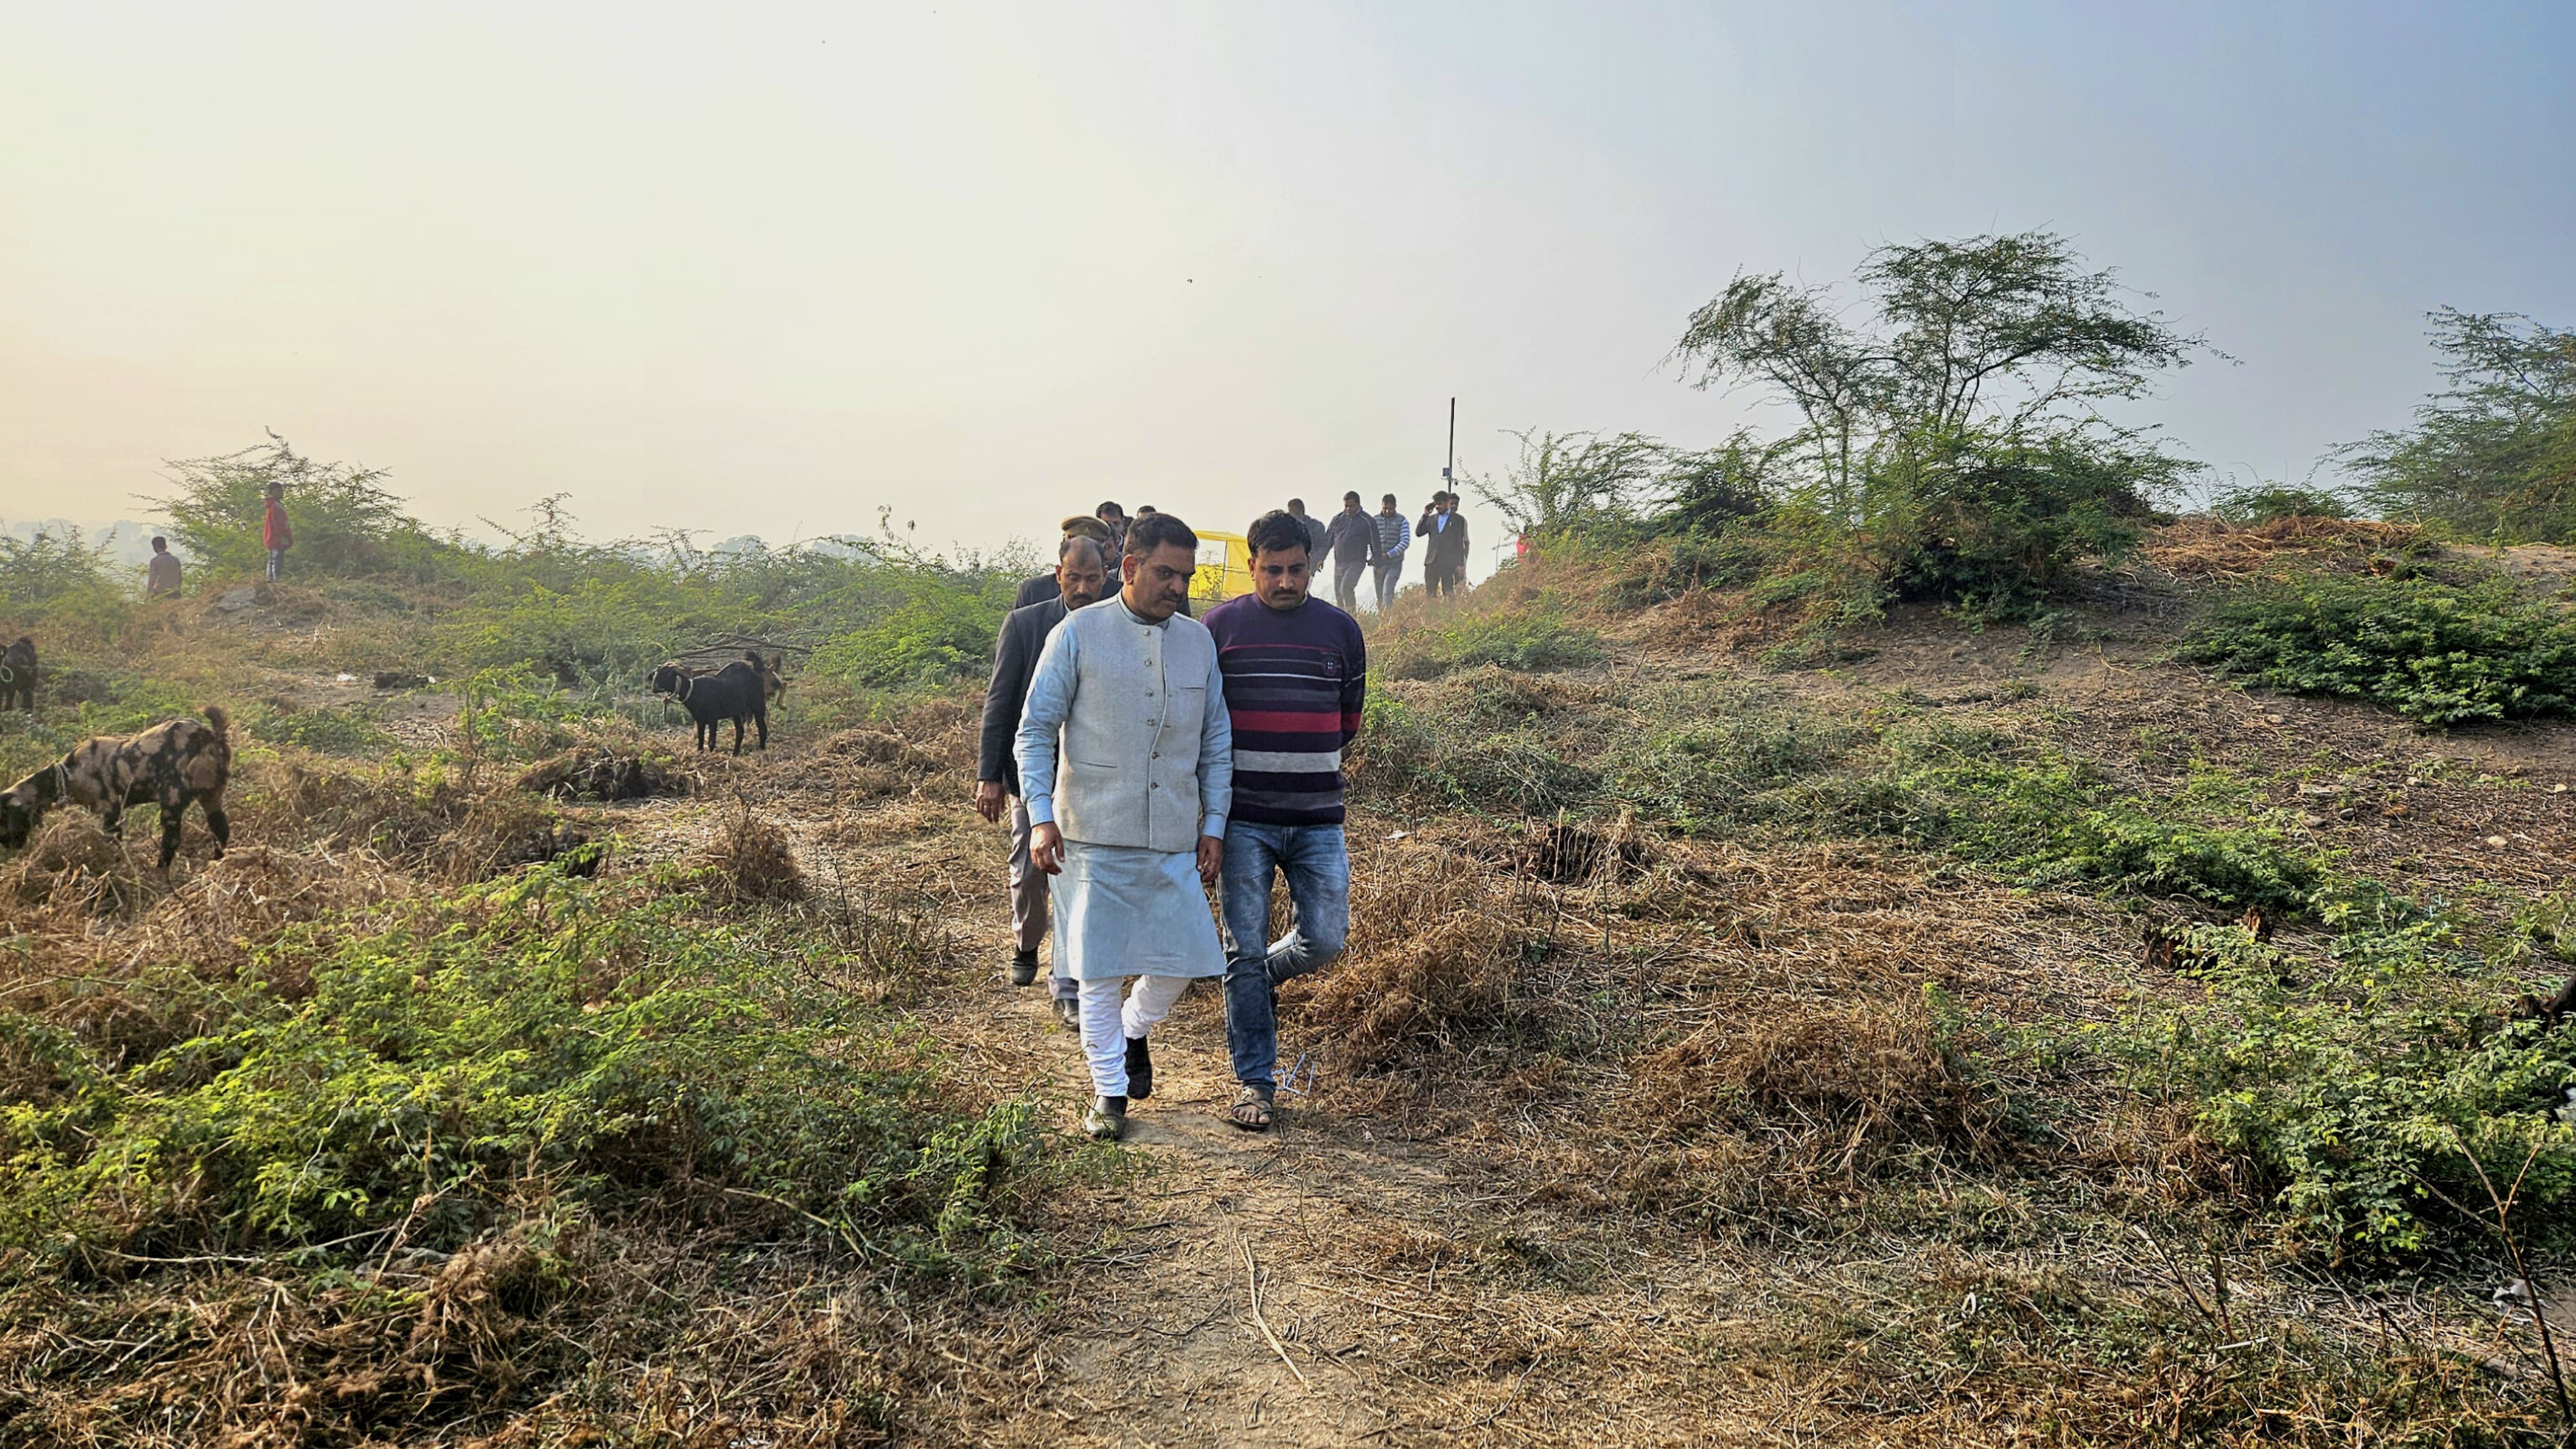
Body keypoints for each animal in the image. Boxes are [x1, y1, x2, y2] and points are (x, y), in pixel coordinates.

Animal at [0, 701, 234, 860]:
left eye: (5, 820)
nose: (8, 848)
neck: (67, 773)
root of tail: (208, 736)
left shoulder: (111, 809)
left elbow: (113, 845)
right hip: (211, 796)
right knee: (220, 830)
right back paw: (215, 864)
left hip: (171, 802)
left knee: (171, 842)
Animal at [649, 649, 767, 747]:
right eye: (656, 674)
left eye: (667, 673)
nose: (654, 688)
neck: (693, 690)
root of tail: (754, 670)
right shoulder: (700, 720)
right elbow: (701, 740)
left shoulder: (712, 718)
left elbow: (711, 742)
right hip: (740, 711)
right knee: (744, 727)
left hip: (757, 705)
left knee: (762, 728)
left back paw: (761, 748)